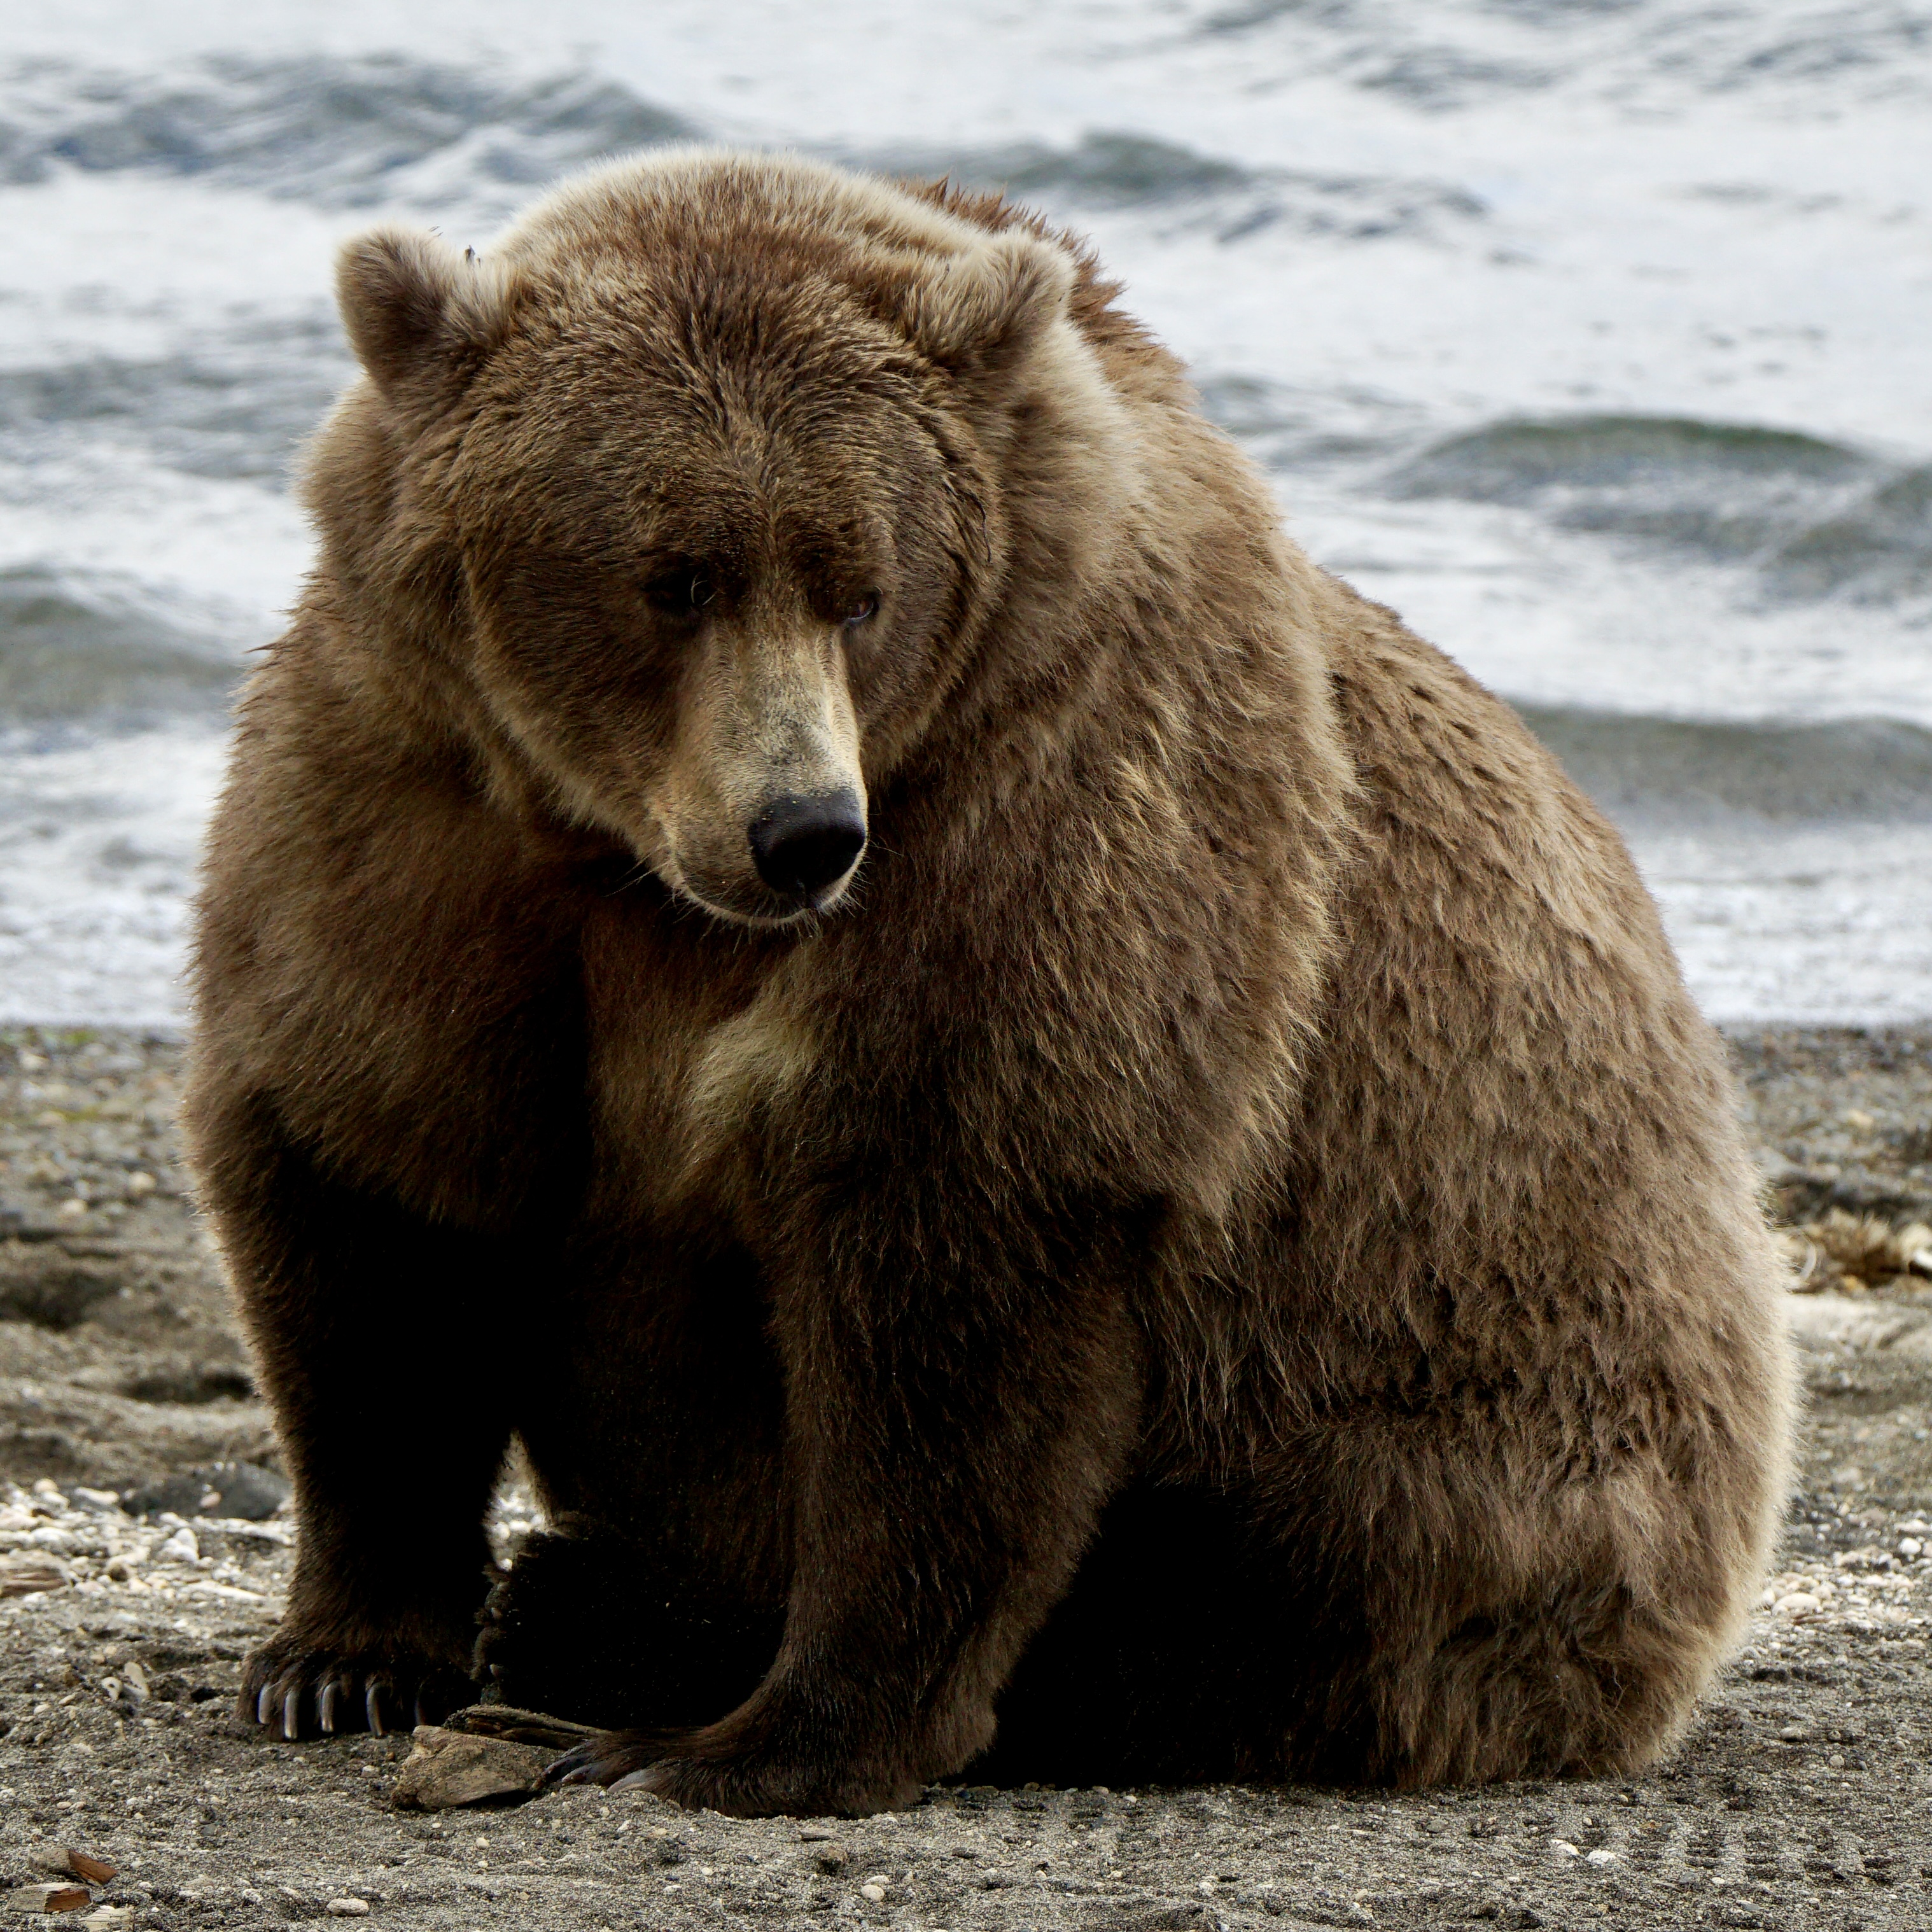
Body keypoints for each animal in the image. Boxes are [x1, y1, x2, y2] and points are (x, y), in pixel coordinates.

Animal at [183, 147, 1795, 1818]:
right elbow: (372, 1183)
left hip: (1459, 1416)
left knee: (1244, 1592)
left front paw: (767, 1739)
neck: (640, 872)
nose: (802, 831)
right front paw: (341, 1658)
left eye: (860, 588)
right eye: (675, 576)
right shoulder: (420, 800)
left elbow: (952, 1265)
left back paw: (612, 1628)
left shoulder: (1040, 815)